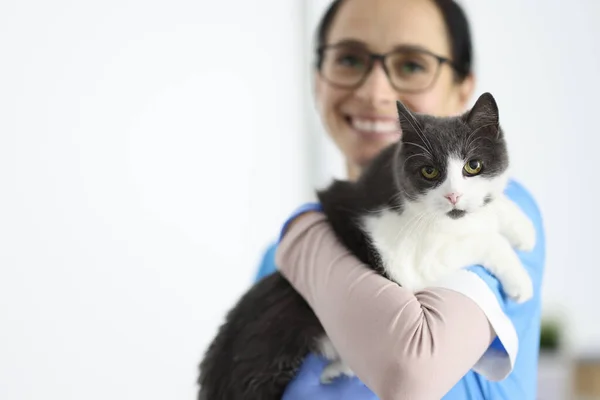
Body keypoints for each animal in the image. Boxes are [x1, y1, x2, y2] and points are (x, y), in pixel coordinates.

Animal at [196, 92, 536, 398]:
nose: (453, 196)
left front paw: (521, 227)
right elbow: (475, 238)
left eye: (473, 166)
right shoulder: (402, 259)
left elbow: (483, 213)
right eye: (429, 171)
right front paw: (518, 278)